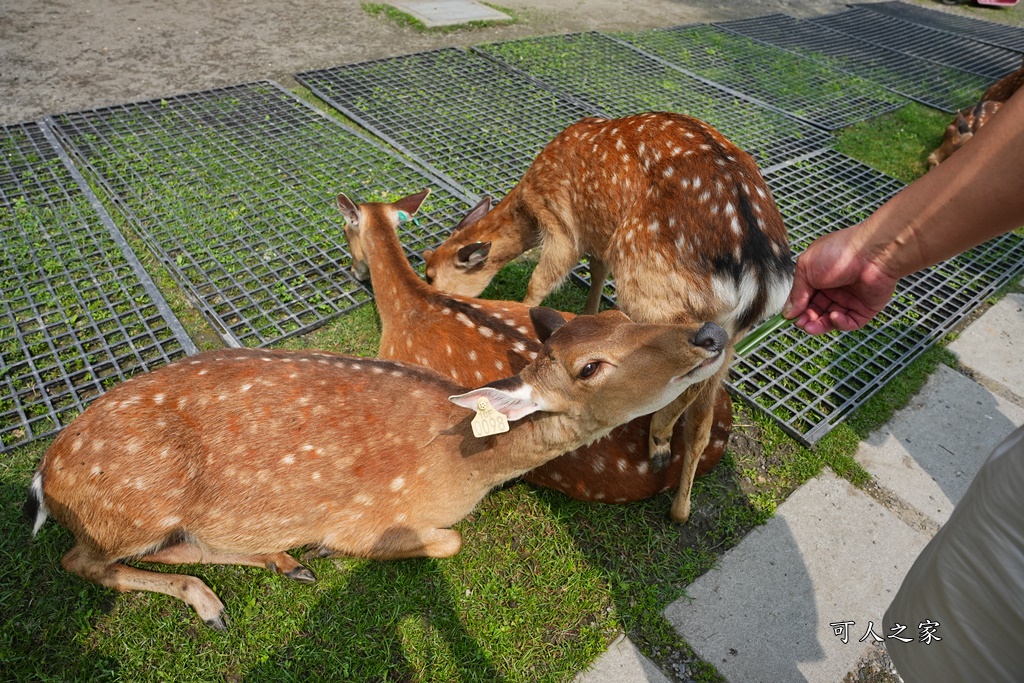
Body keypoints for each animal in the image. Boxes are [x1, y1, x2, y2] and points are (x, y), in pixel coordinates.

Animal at [24, 309, 729, 630]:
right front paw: (332, 554)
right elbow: (447, 541)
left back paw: (280, 561)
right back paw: (219, 596)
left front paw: (307, 558)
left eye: (621, 316)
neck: (466, 468)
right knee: (80, 561)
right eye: (590, 367)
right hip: (137, 503)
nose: (710, 336)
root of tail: (43, 478)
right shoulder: (372, 517)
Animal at [419, 111, 794, 524]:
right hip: (730, 328)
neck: (531, 204)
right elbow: (597, 269)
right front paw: (588, 313)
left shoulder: (564, 225)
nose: (429, 287)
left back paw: (659, 441)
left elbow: (541, 280)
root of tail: (760, 270)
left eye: (430, 274)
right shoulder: (599, 233)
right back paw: (679, 509)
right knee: (703, 413)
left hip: (650, 281)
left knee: (690, 365)